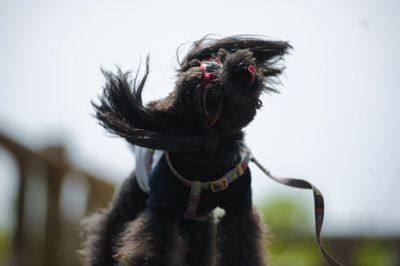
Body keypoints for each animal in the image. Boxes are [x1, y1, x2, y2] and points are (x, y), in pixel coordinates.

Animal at [79, 35, 290, 266]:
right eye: (213, 94)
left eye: (217, 62)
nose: (241, 66)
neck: (210, 158)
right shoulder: (161, 211)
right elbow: (151, 250)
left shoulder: (239, 207)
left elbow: (241, 247)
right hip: (127, 207)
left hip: (199, 229)